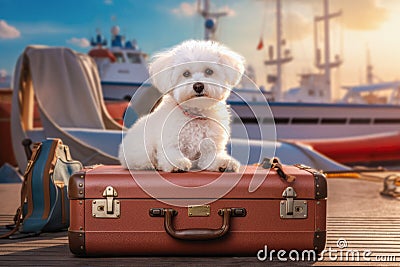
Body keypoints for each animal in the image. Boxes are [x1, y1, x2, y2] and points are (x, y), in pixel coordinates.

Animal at [119, 40, 244, 174]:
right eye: (186, 74)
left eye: (209, 71)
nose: (198, 86)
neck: (195, 115)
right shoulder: (170, 142)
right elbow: (171, 153)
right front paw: (178, 163)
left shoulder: (210, 145)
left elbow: (211, 156)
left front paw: (223, 162)